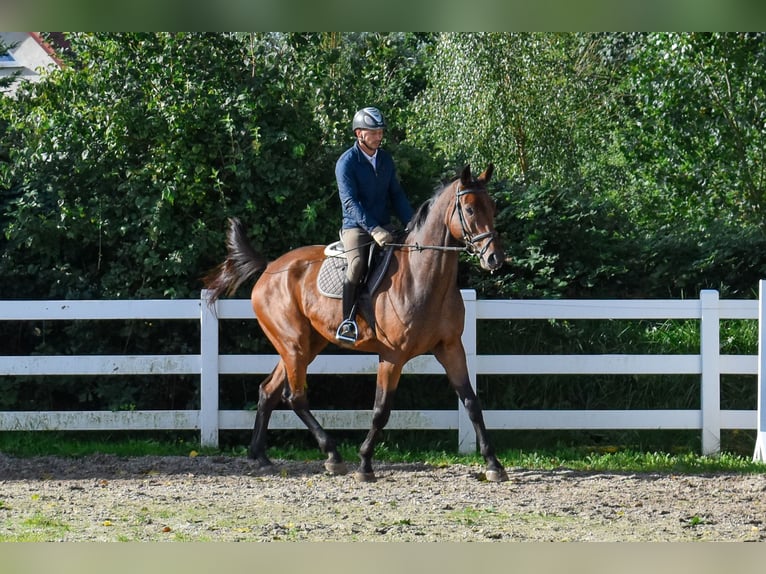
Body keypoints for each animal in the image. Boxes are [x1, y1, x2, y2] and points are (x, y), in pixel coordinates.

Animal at [203, 164, 508, 482]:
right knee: (295, 396)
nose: (494, 258)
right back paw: (332, 455)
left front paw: (493, 464)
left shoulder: (450, 348)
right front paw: (364, 464)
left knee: (268, 391)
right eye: (469, 209)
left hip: (303, 346)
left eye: (492, 206)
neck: (423, 277)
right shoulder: (392, 356)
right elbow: (381, 410)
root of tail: (270, 268)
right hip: (293, 345)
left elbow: (472, 403)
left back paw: (260, 457)